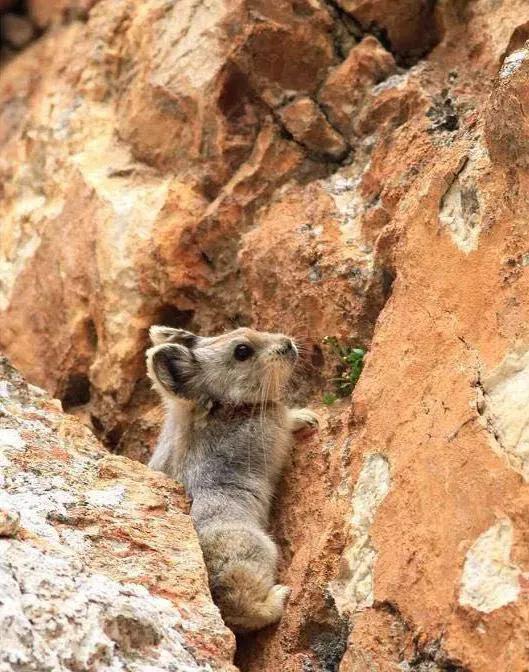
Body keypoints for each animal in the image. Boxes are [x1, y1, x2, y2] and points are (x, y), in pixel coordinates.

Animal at [146, 325, 318, 632]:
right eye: (242, 351)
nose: (288, 343)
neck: (223, 406)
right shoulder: (273, 426)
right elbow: (288, 420)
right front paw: (309, 416)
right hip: (254, 549)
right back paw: (281, 595)